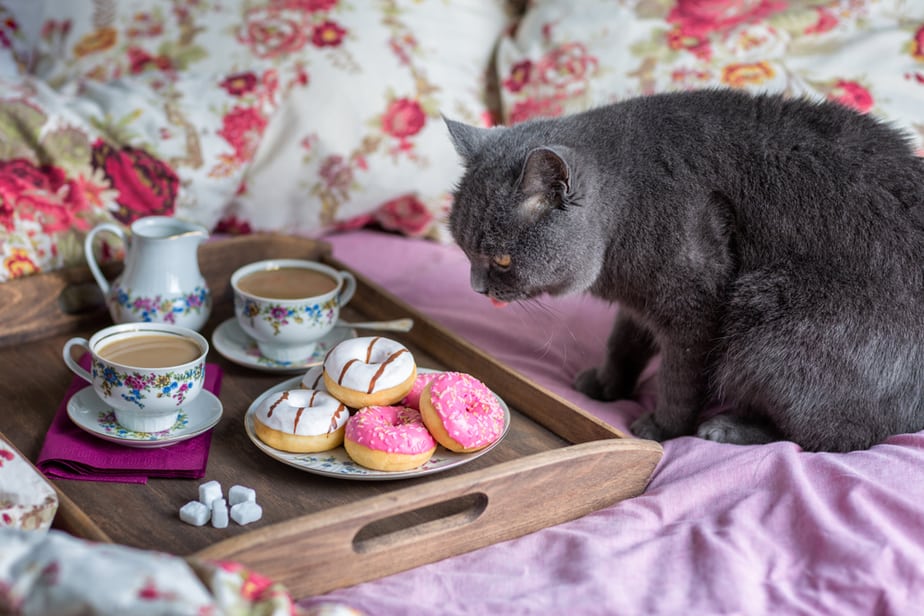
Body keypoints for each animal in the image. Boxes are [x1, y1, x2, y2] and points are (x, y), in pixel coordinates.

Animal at [444, 88, 924, 452]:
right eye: (464, 251)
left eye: (502, 260)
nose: (475, 287)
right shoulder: (640, 297)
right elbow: (624, 342)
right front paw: (606, 385)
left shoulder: (694, 302)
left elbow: (679, 375)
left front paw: (663, 429)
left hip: (767, 315)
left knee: (836, 435)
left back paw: (726, 427)